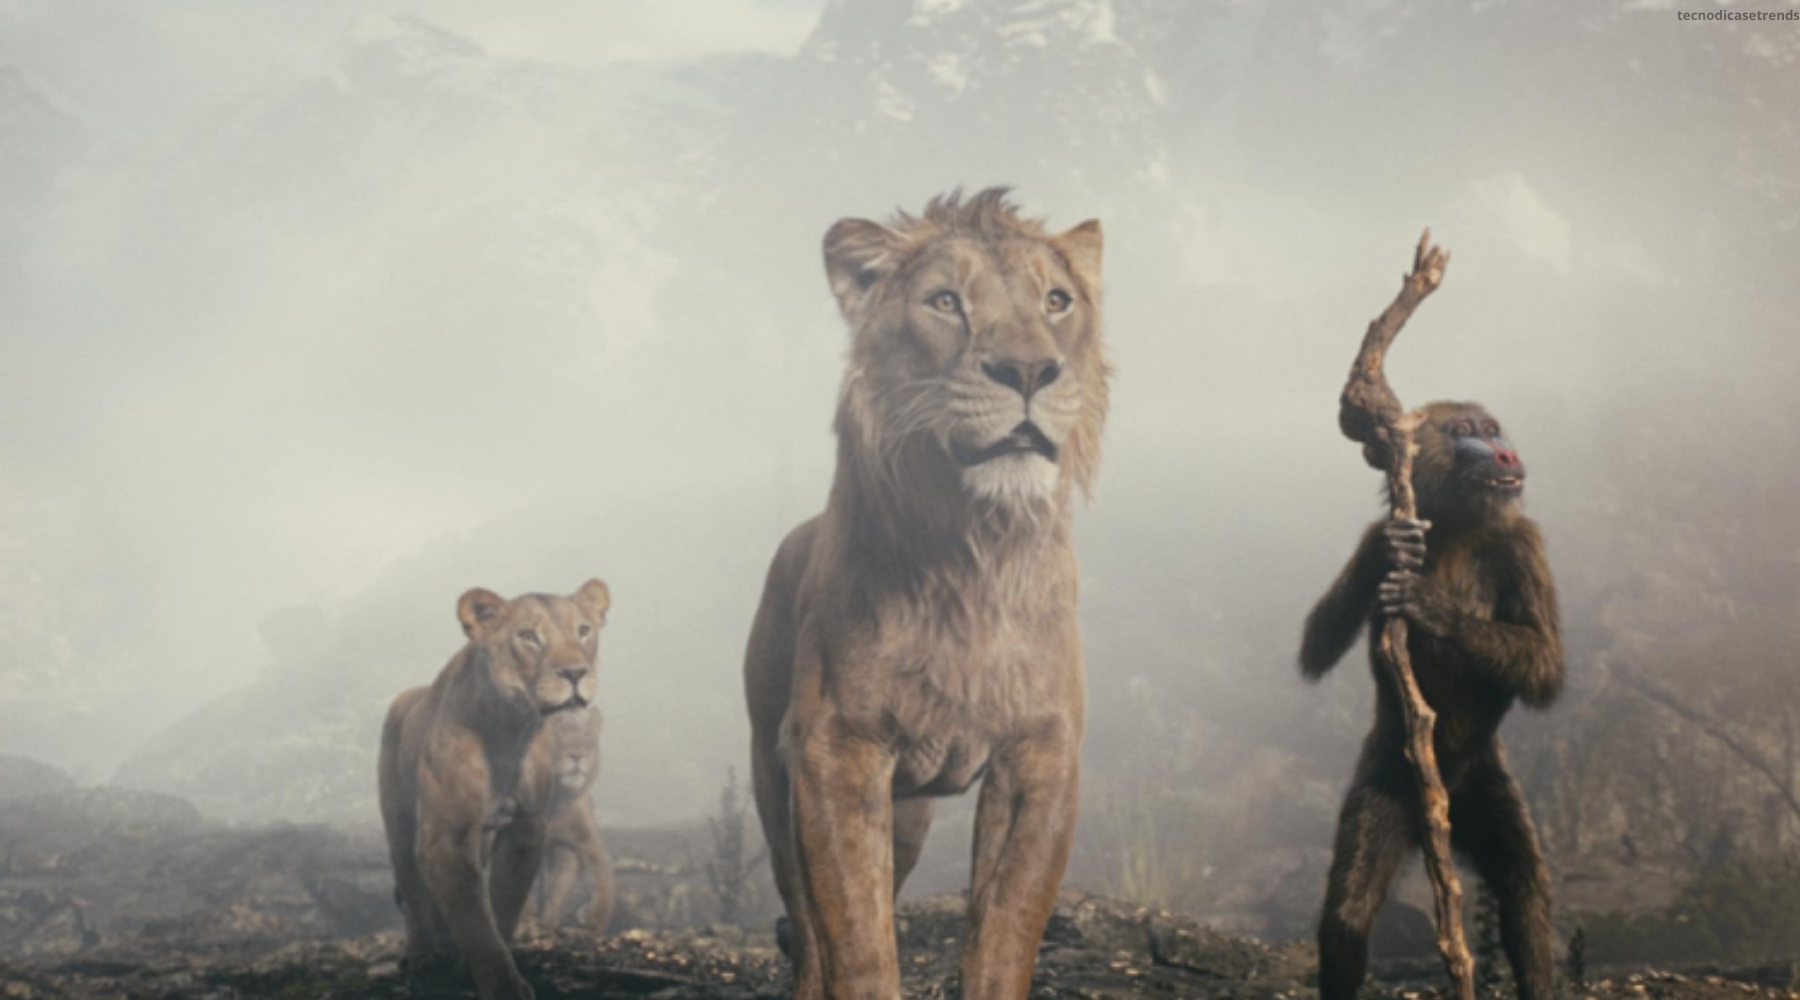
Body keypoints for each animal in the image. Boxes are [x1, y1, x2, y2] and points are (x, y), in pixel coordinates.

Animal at [379, 579, 610, 1000]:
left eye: (583, 630)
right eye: (528, 636)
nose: (574, 672)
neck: (510, 729)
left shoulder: (526, 828)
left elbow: (502, 905)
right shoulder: (446, 837)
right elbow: (475, 922)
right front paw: (502, 987)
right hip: (399, 822)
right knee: (413, 887)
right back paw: (420, 956)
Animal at [744, 188, 1110, 1000]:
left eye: (1057, 301)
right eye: (945, 302)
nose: (1029, 368)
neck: (974, 552)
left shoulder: (1041, 754)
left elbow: (1006, 928)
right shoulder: (836, 750)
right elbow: (856, 938)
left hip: (907, 813)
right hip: (772, 775)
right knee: (807, 926)